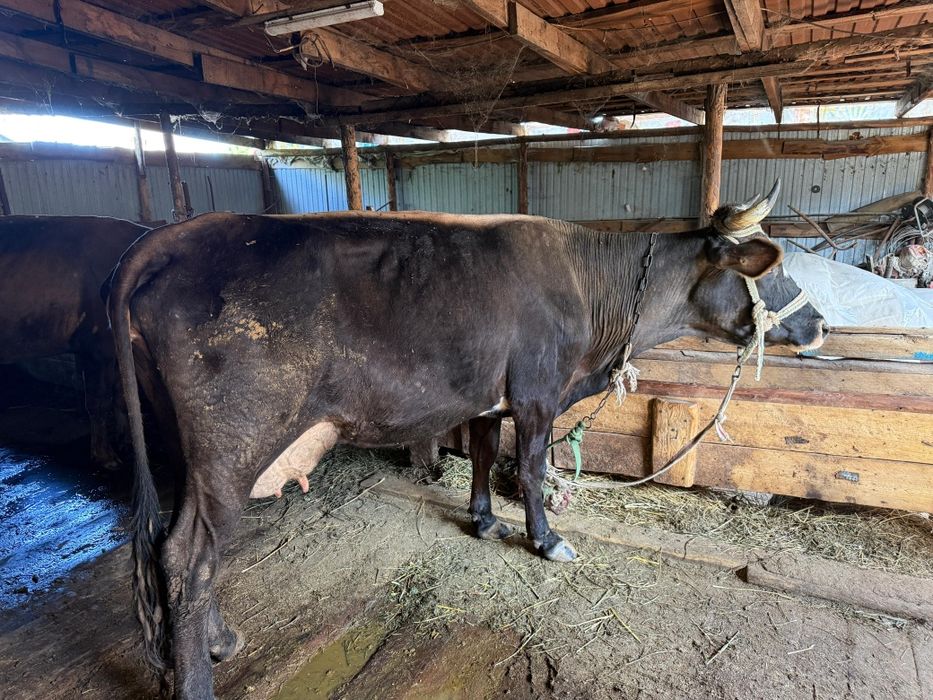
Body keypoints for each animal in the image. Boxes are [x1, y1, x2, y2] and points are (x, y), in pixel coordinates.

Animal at [108, 183, 826, 697]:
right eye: (773, 269)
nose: (819, 324)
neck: (592, 292)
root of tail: (180, 233)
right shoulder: (537, 393)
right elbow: (530, 469)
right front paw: (545, 539)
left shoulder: (490, 397)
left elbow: (483, 455)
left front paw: (482, 520)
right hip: (234, 443)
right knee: (189, 556)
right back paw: (199, 677)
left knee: (183, 550)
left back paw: (217, 641)